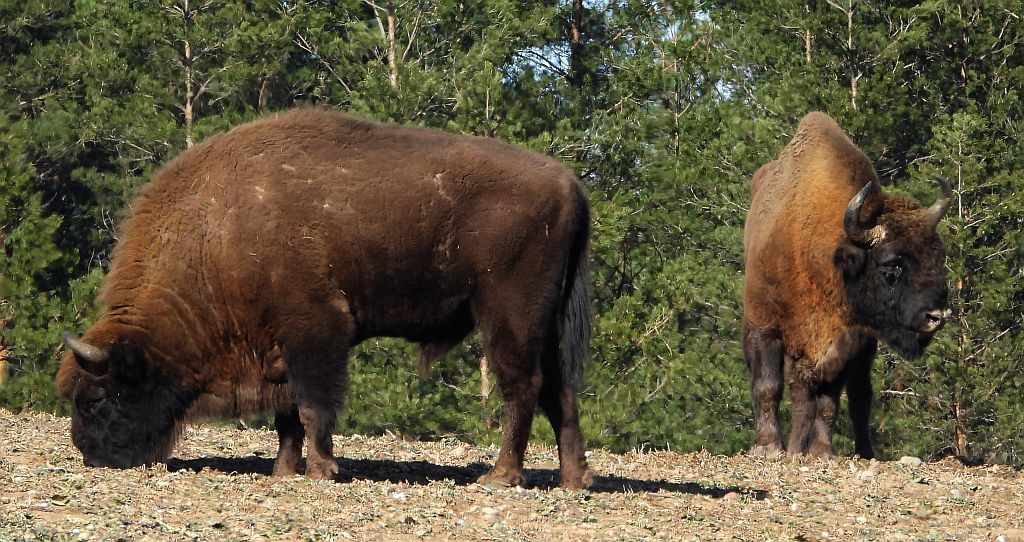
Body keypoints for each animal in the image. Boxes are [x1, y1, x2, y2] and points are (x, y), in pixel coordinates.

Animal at [57, 108, 594, 489]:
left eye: (96, 398)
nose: (91, 455)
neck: (219, 230)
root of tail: (570, 183)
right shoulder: (275, 347)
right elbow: (287, 415)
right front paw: (283, 469)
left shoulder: (314, 332)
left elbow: (313, 405)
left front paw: (319, 468)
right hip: (543, 321)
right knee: (560, 391)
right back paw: (573, 481)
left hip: (508, 315)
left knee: (522, 387)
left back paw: (500, 476)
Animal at [742, 112, 951, 458]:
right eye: (891, 264)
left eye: (939, 256)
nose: (936, 316)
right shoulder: (765, 326)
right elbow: (768, 386)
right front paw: (769, 448)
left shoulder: (846, 343)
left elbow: (829, 402)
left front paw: (821, 451)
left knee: (859, 397)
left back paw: (864, 451)